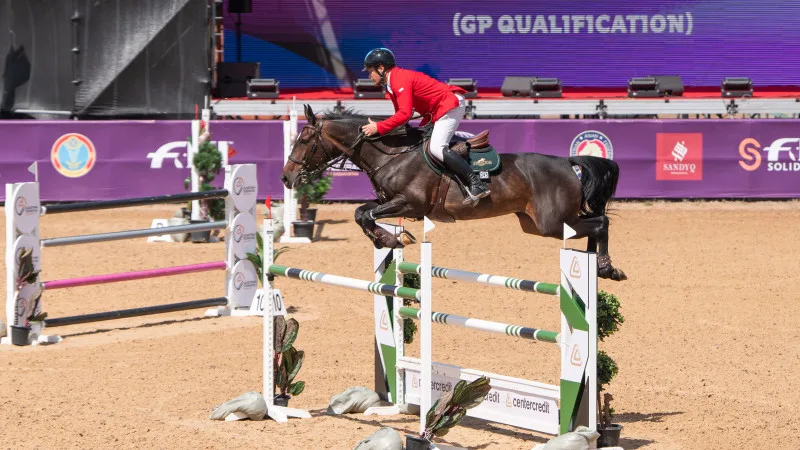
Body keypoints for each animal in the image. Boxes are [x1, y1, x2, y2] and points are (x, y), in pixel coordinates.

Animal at [281, 104, 627, 281]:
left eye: (304, 140)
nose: (286, 177)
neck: (391, 154)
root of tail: (568, 162)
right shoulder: (389, 202)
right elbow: (360, 212)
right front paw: (388, 239)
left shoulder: (409, 204)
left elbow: (364, 215)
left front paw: (390, 239)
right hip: (536, 224)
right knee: (594, 224)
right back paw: (600, 267)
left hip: (551, 223)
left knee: (601, 223)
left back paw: (607, 267)